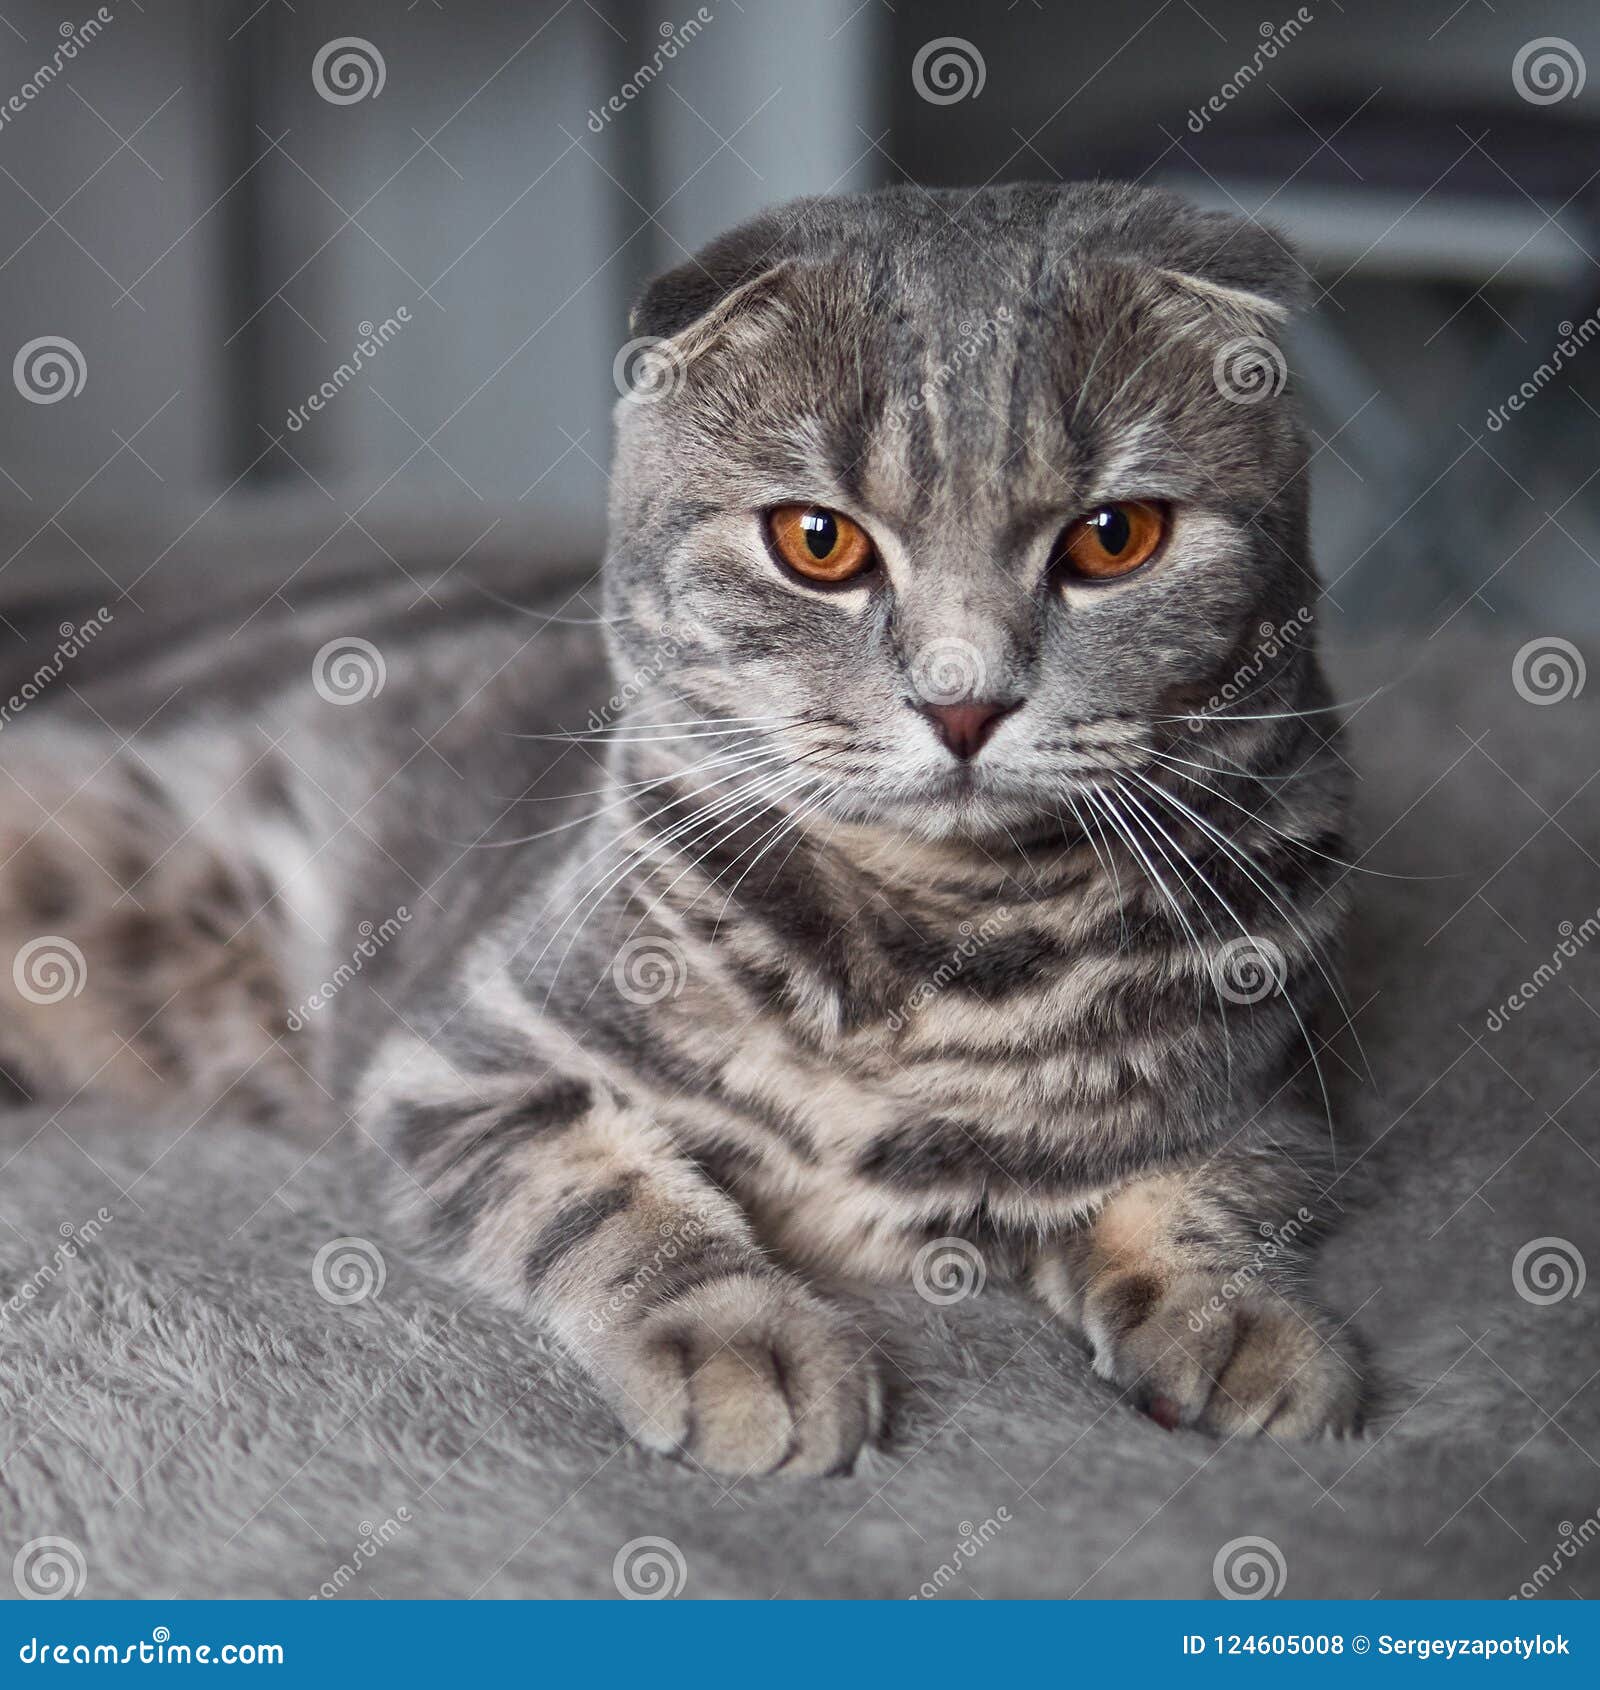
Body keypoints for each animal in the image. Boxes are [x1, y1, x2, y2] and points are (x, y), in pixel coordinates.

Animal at [0, 185, 1365, 1480]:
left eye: (1113, 537)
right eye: (818, 543)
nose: (963, 700)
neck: (929, 945)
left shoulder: (1271, 1102)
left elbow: (1204, 1198)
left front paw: (1241, 1325)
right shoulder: (465, 1055)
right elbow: (611, 1197)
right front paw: (744, 1343)